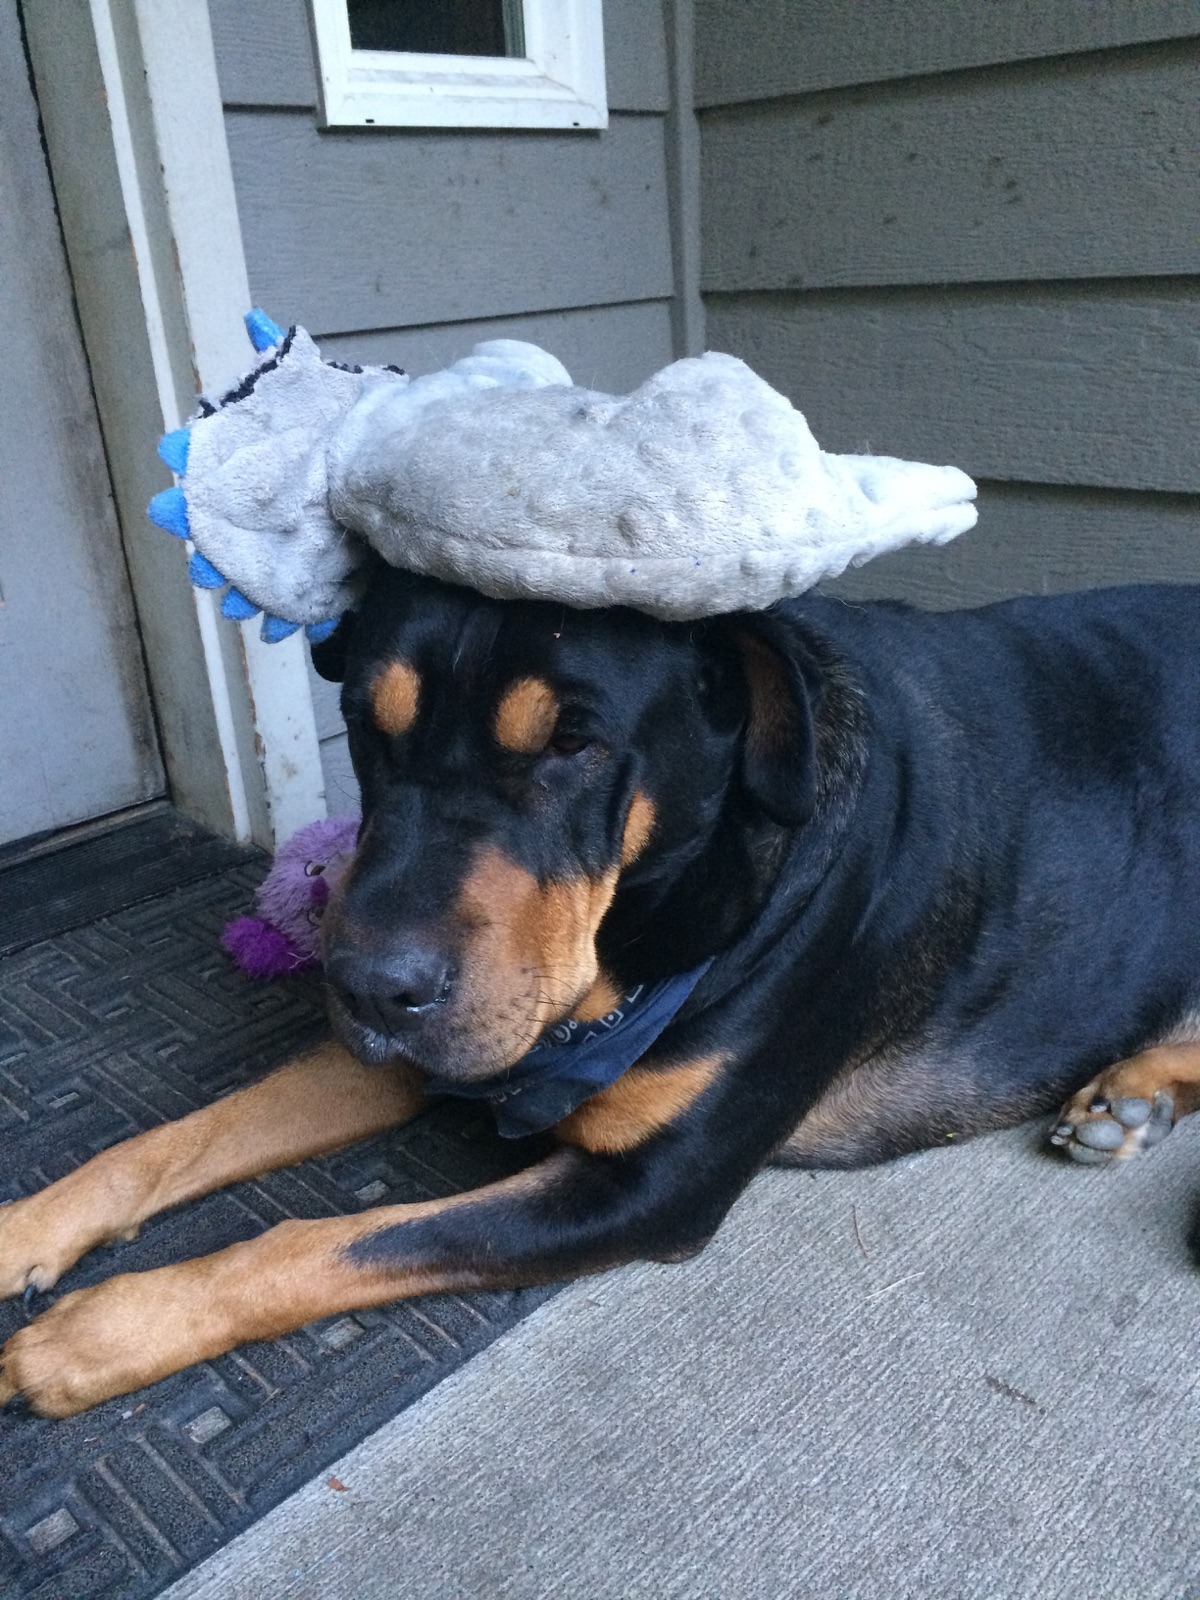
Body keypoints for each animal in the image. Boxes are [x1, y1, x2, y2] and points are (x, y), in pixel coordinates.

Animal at [3, 571, 1200, 1417]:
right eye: (367, 726)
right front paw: (25, 1232)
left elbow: (324, 1240)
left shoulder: (646, 1188)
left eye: (574, 742)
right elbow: (176, 1140)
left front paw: (104, 1330)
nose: (368, 987)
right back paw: (1130, 1096)